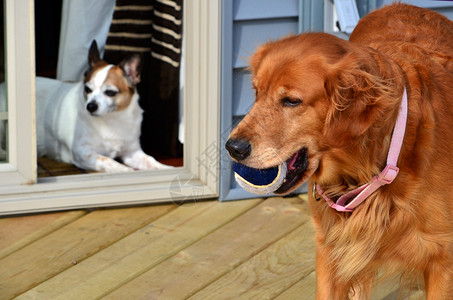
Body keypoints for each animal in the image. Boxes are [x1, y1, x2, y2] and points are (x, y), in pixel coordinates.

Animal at [0, 40, 171, 171]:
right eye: (88, 89)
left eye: (110, 92)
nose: (91, 106)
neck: (113, 120)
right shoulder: (85, 154)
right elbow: (112, 162)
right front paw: (128, 172)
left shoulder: (132, 153)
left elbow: (151, 161)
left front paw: (167, 169)